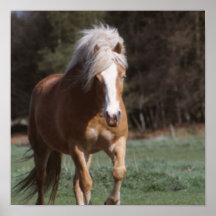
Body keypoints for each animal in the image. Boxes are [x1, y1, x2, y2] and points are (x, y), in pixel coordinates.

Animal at [14, 24, 128, 205]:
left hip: (87, 154)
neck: (95, 113)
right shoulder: (76, 148)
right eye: (97, 78)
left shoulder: (117, 142)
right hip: (41, 148)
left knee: (75, 182)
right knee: (42, 178)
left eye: (123, 76)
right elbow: (86, 183)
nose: (113, 116)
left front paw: (112, 200)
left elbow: (119, 172)